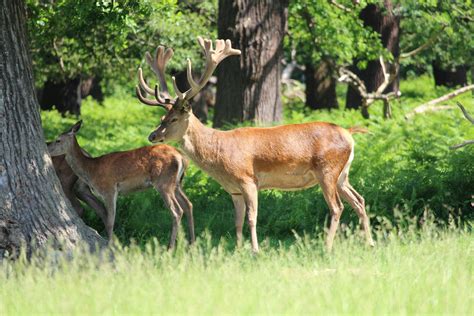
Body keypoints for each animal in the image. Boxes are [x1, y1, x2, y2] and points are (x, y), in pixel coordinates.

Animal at [48, 121, 194, 247]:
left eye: (58, 140)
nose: (47, 147)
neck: (92, 169)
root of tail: (182, 157)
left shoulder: (109, 189)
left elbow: (110, 220)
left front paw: (110, 244)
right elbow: (107, 216)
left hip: (163, 182)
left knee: (177, 211)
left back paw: (170, 247)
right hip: (177, 183)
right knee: (188, 204)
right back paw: (191, 244)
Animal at [136, 37, 374, 253]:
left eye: (174, 119)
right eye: (162, 117)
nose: (153, 135)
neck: (219, 155)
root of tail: (349, 134)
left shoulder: (248, 179)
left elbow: (252, 217)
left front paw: (255, 250)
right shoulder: (234, 191)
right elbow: (237, 221)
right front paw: (238, 250)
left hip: (327, 170)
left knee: (337, 207)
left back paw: (327, 247)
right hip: (343, 174)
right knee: (359, 200)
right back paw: (369, 243)